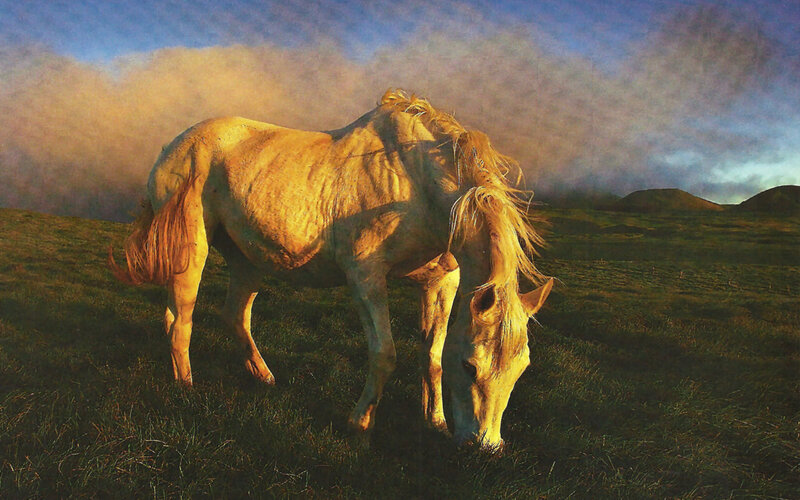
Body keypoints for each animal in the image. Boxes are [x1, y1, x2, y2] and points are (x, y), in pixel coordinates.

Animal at [110, 89, 553, 450]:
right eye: (471, 366)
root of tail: (173, 145)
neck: (415, 178)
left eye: (522, 369)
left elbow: (432, 355)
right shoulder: (364, 275)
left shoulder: (442, 281)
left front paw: (436, 421)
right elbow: (384, 353)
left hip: (246, 259)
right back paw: (186, 386)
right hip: (191, 249)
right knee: (181, 318)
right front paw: (360, 425)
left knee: (233, 314)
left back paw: (264, 377)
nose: (485, 447)